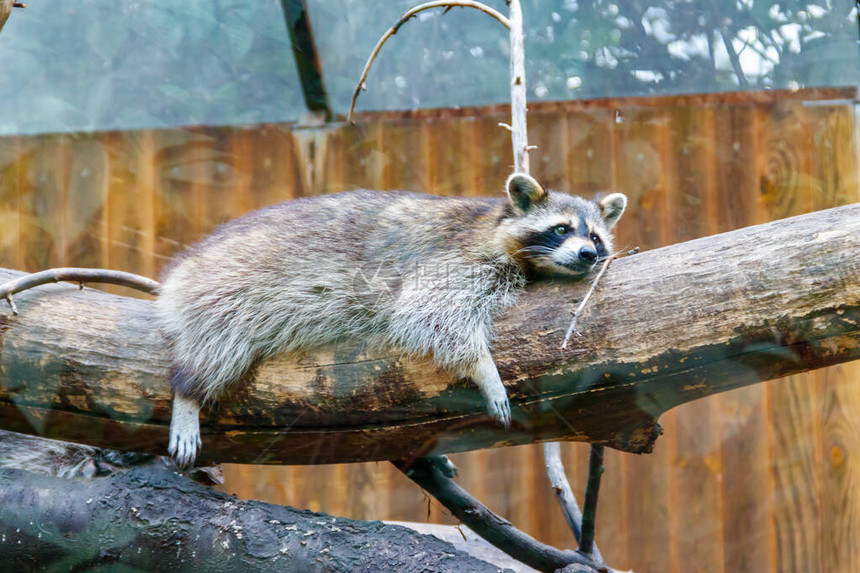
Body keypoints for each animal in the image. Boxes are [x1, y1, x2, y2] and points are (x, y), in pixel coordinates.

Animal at [158, 173, 624, 464]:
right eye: (561, 229)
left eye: (595, 237)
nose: (588, 254)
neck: (495, 223)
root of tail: (183, 269)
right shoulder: (451, 260)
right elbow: (430, 312)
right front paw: (483, 368)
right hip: (230, 289)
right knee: (216, 343)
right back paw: (189, 392)